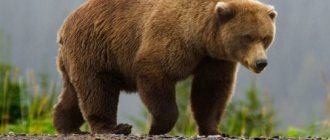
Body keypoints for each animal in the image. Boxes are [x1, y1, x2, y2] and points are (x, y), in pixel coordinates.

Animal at [53, 0, 276, 136]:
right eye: (247, 37)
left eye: (265, 37)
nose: (261, 62)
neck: (201, 38)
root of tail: (64, 27)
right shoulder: (171, 39)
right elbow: (156, 74)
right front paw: (156, 127)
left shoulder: (214, 59)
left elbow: (211, 91)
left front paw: (214, 129)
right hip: (96, 49)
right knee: (98, 89)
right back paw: (114, 128)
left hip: (76, 59)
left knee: (73, 93)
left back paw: (66, 125)